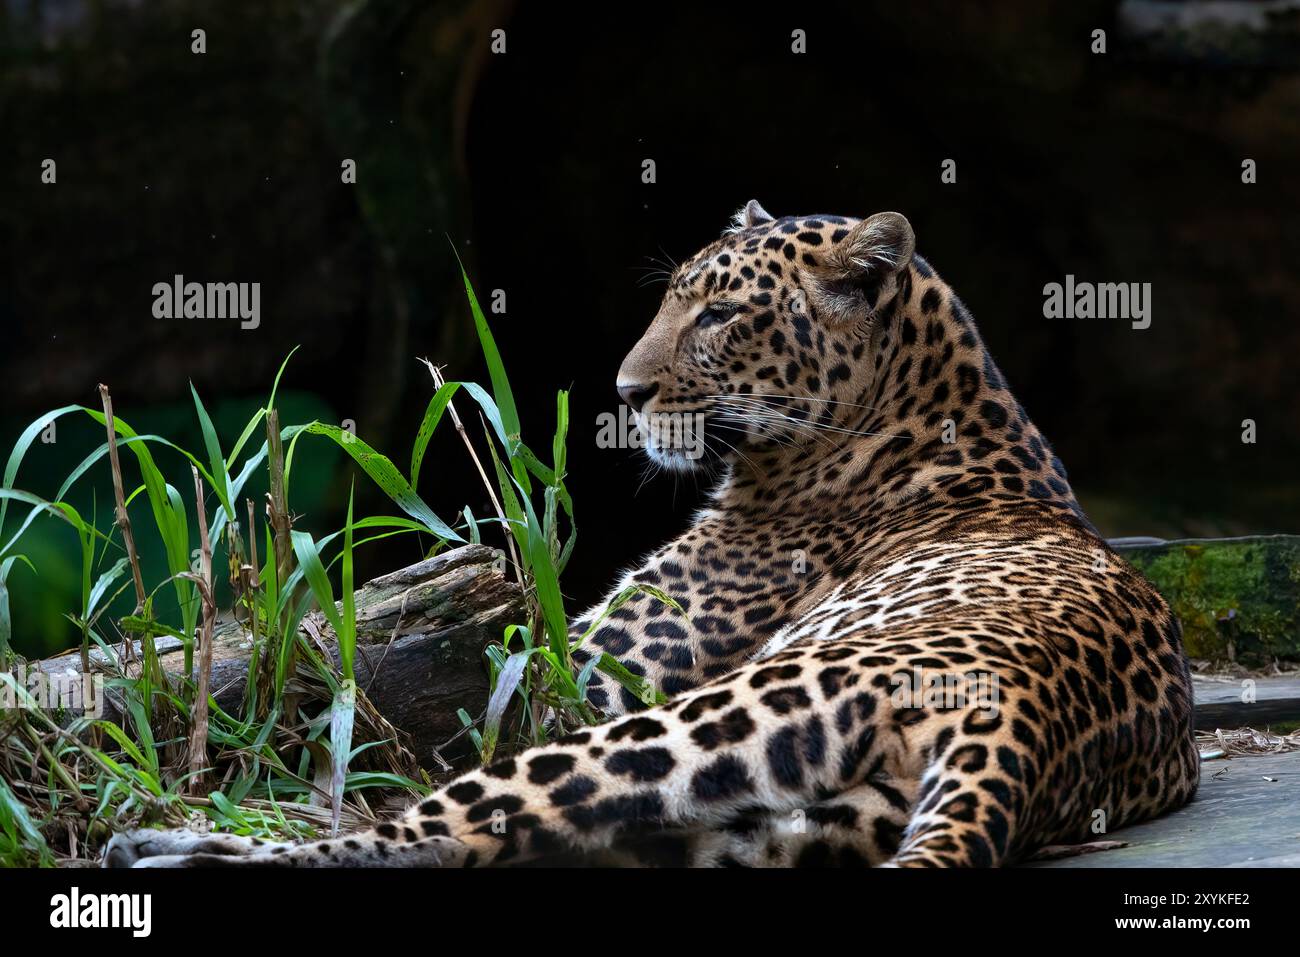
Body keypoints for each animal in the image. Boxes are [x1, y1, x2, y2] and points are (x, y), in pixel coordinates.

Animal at [105, 201, 1199, 868]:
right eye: (672, 296)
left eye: (720, 314)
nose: (626, 393)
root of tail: (1020, 714)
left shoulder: (575, 673)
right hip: (785, 826)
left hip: (683, 720)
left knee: (431, 829)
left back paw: (185, 847)